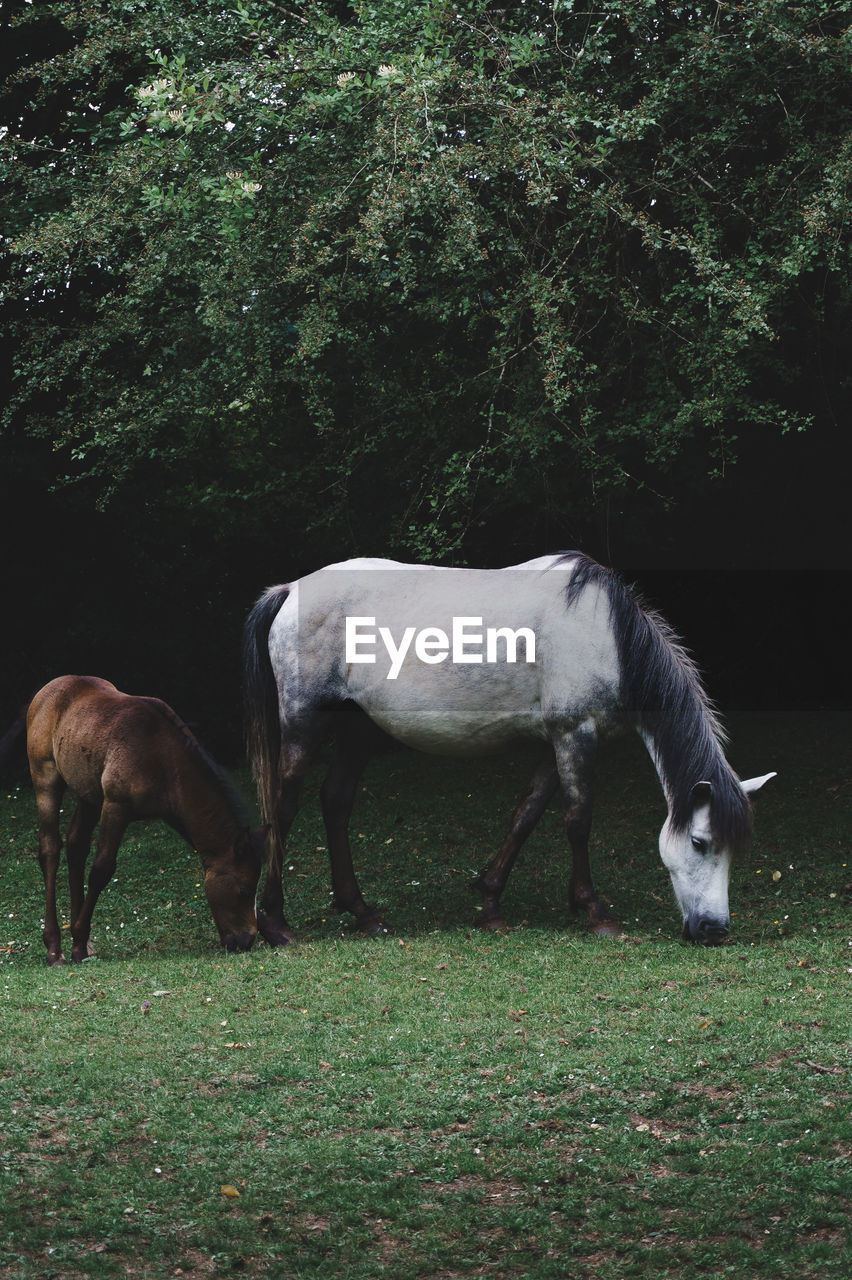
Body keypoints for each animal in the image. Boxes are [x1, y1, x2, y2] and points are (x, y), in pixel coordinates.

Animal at [241, 555, 772, 947]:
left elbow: (526, 814)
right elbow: (578, 821)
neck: (606, 636)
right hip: (304, 725)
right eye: (700, 843)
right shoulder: (574, 735)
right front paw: (594, 910)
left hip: (357, 730)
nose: (714, 930)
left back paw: (361, 910)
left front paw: (491, 902)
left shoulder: (556, 742)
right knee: (283, 809)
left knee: (336, 802)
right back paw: (276, 923)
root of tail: (290, 590)